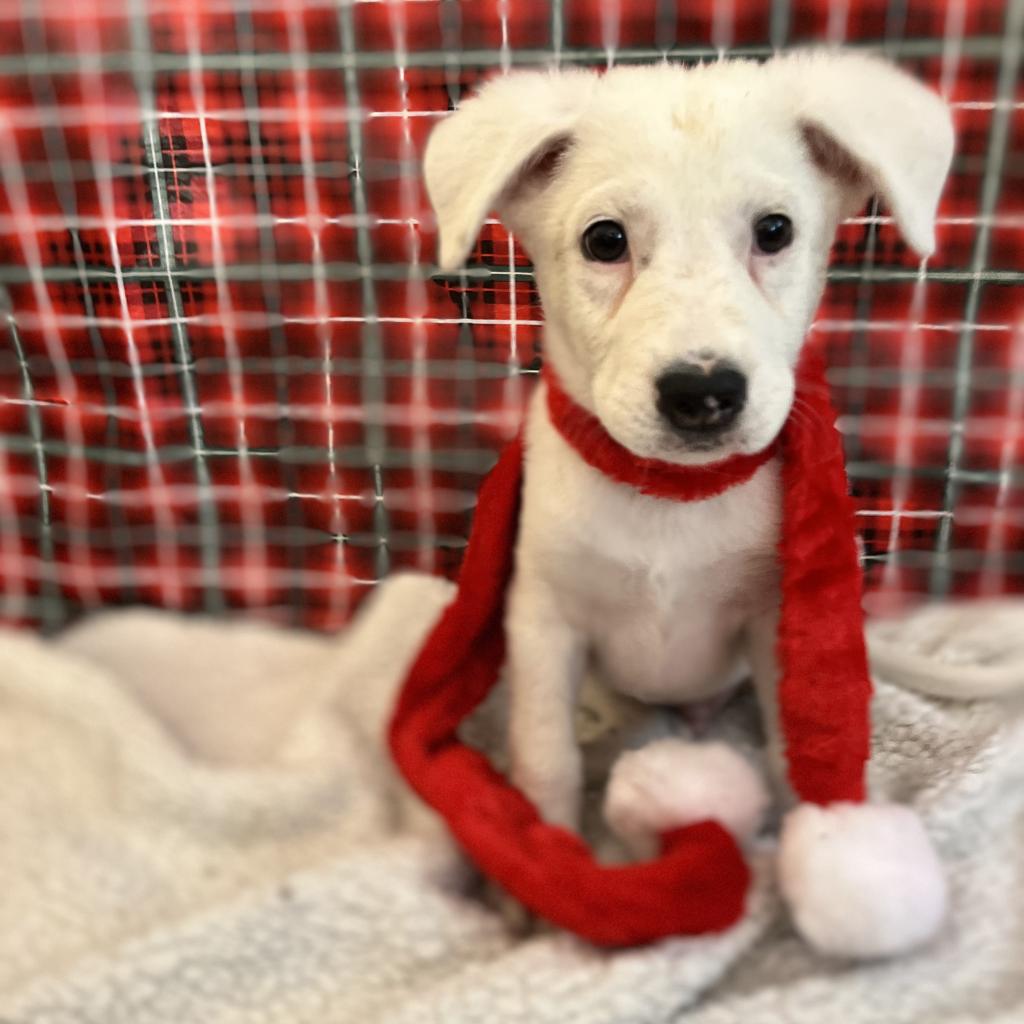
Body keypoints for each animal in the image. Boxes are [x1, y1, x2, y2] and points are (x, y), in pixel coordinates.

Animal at [421, 51, 950, 954]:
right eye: (605, 240)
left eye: (774, 231)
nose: (703, 394)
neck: (670, 494)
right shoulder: (542, 616)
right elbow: (543, 757)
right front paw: (537, 882)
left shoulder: (777, 620)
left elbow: (798, 744)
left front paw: (815, 852)